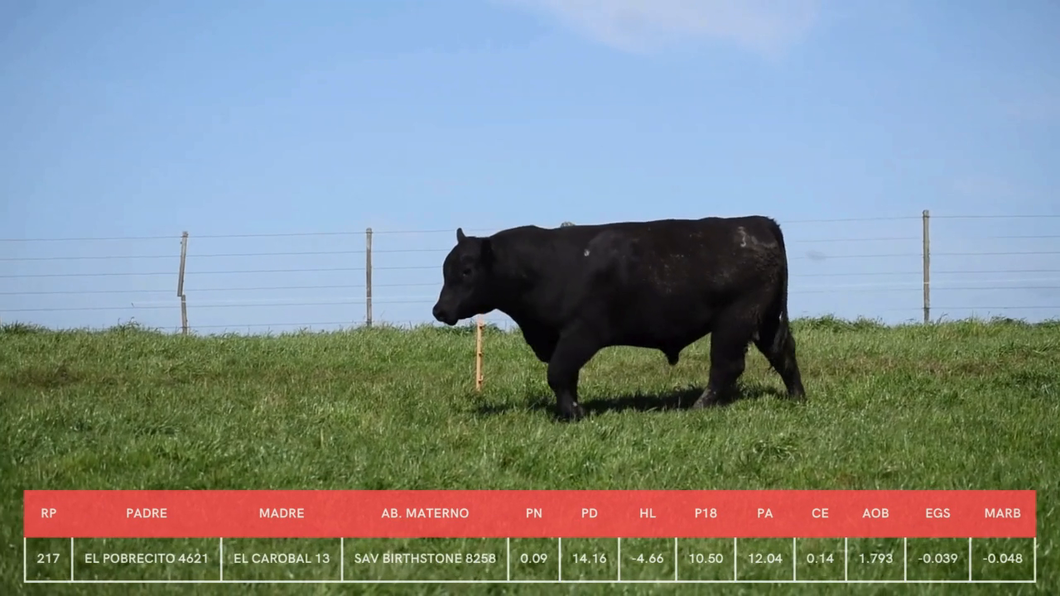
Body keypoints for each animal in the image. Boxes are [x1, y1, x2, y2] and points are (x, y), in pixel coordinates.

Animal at [430, 215, 801, 419]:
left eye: (466, 270)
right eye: (447, 269)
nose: (439, 310)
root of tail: (758, 222)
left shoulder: (582, 332)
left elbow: (558, 372)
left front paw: (575, 413)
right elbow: (567, 377)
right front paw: (570, 409)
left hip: (734, 320)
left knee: (727, 366)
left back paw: (699, 406)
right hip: (766, 319)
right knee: (782, 352)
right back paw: (798, 397)